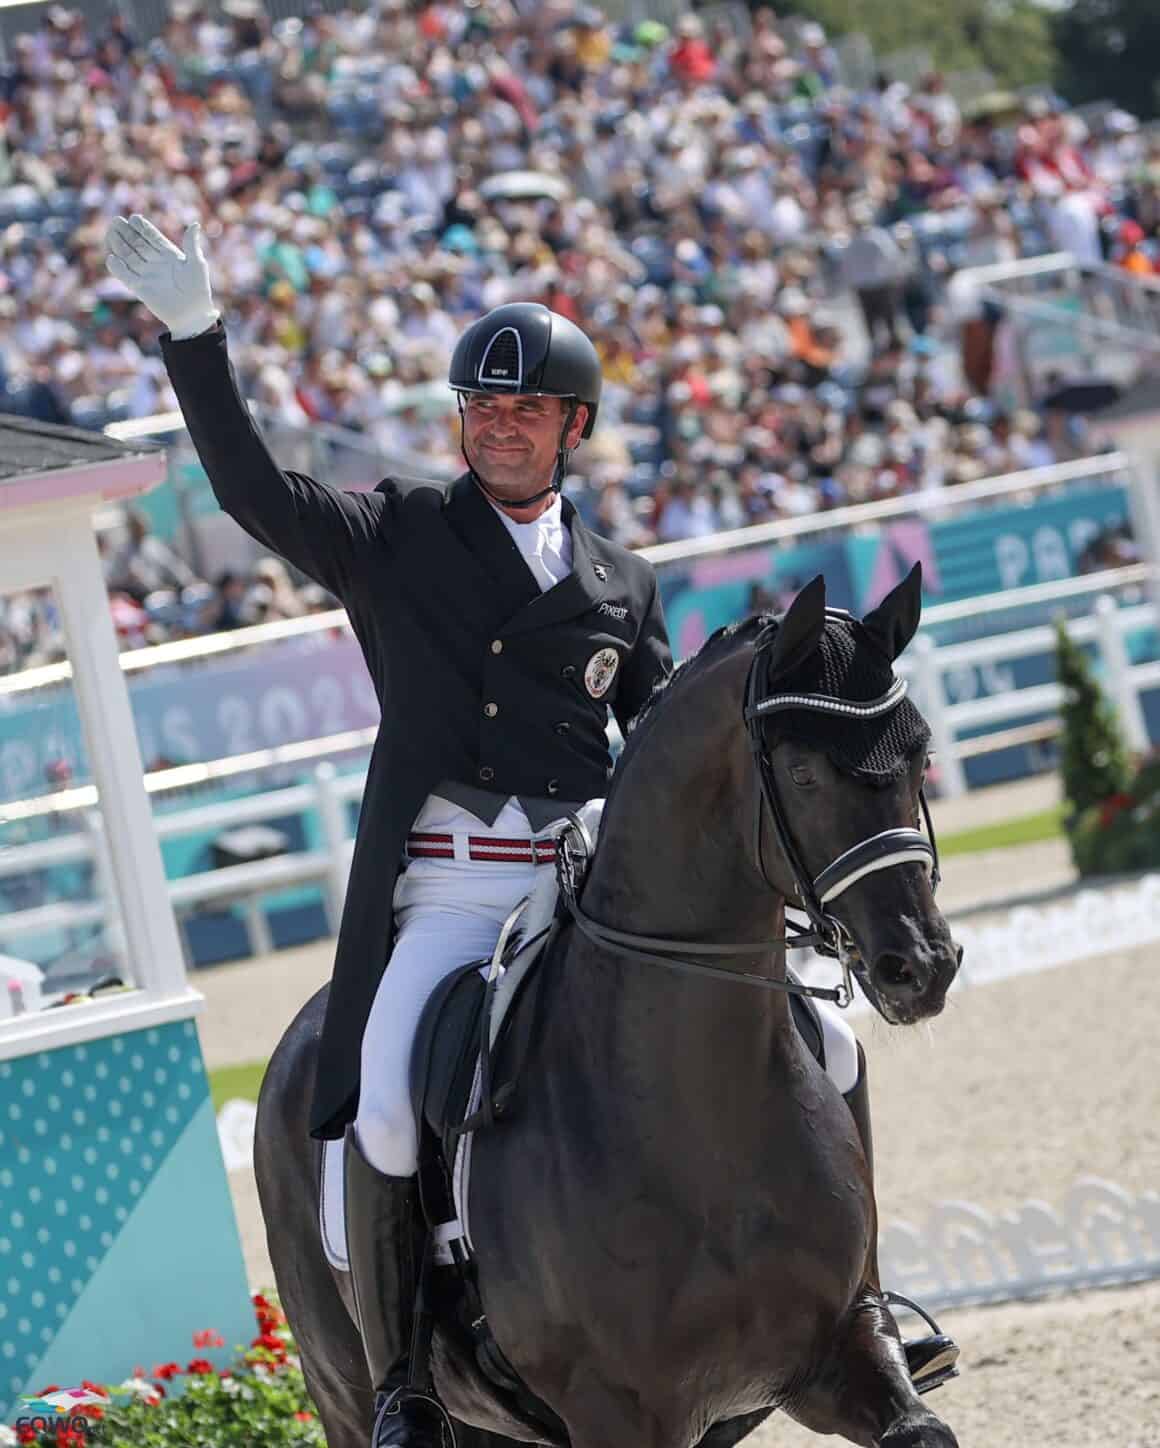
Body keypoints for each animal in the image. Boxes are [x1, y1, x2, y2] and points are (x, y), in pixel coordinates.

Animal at [253, 564, 961, 1448]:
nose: (921, 965)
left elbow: (920, 1426)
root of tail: (297, 1041)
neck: (703, 1117)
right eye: (803, 773)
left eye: (920, 757)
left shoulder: (839, 1351)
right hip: (342, 1390)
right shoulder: (615, 1412)